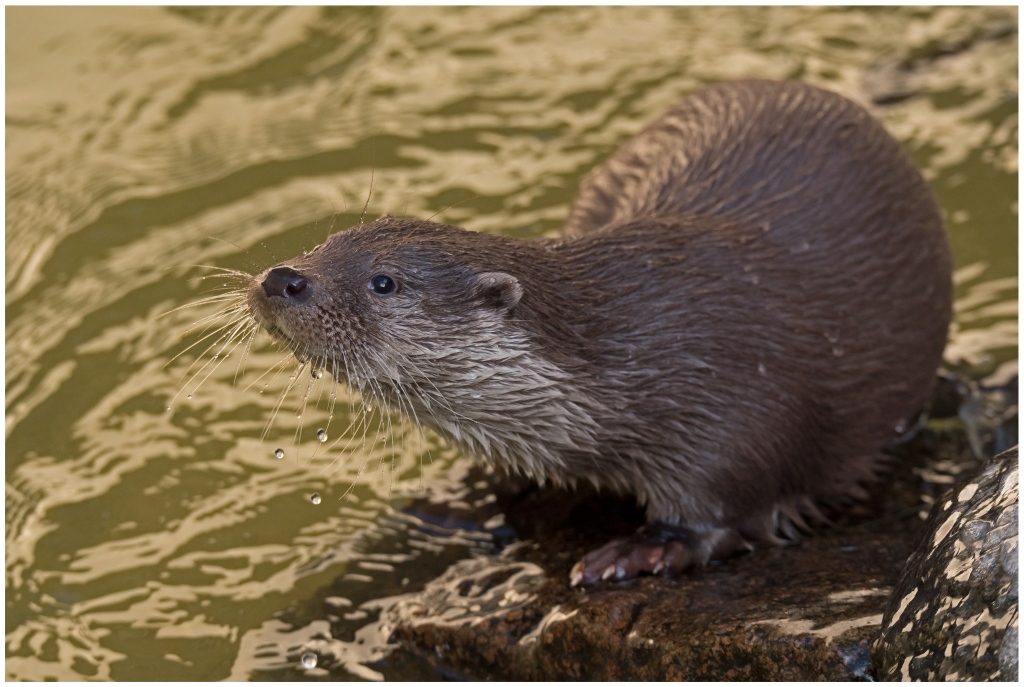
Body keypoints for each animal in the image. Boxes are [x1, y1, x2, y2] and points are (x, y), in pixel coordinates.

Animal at [247, 80, 952, 586]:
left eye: (384, 282)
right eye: (326, 243)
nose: (283, 278)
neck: (630, 363)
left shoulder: (735, 419)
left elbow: (719, 521)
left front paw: (639, 552)